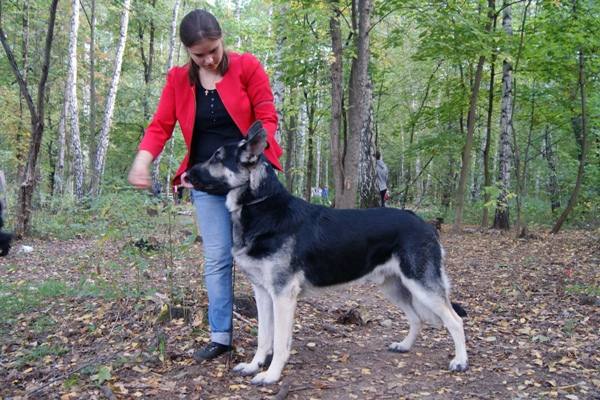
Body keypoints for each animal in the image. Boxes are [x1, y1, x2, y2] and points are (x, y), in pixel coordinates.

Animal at [186, 121, 468, 385]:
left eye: (217, 157)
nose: (185, 174)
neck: (261, 206)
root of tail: (424, 223)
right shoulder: (263, 294)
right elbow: (264, 337)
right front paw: (255, 365)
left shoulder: (283, 296)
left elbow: (279, 342)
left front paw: (271, 375)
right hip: (394, 287)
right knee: (416, 318)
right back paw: (405, 346)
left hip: (421, 287)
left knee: (455, 320)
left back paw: (460, 361)